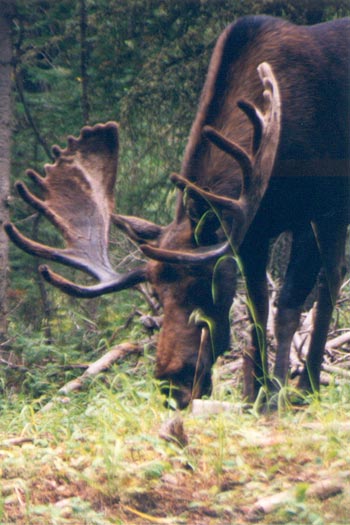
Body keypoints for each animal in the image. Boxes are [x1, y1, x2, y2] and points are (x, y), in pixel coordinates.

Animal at [5, 16, 350, 408]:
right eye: (156, 295)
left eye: (202, 286)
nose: (171, 384)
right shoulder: (252, 231)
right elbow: (258, 307)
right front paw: (253, 395)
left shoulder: (320, 208)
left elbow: (291, 304)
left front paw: (282, 394)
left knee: (331, 280)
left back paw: (307, 384)